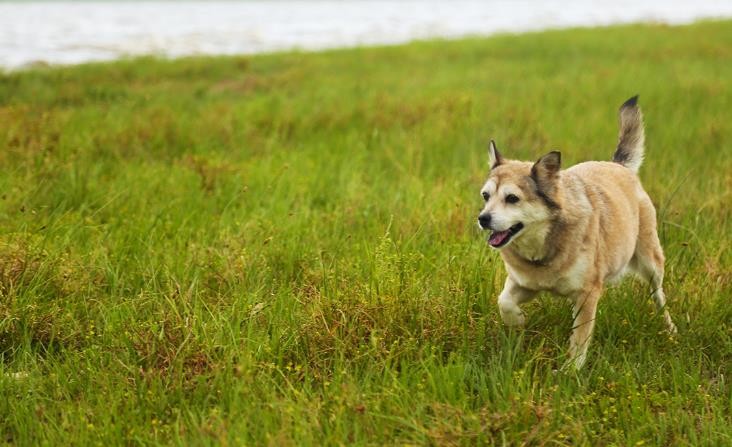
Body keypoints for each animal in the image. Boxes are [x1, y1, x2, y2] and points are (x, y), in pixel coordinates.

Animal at [478, 97, 676, 372]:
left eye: (512, 198)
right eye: (485, 196)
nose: (483, 219)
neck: (545, 245)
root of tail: (618, 165)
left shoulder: (588, 293)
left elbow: (581, 336)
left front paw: (570, 370)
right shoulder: (524, 284)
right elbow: (504, 300)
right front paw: (517, 320)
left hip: (650, 262)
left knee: (658, 293)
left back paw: (668, 326)